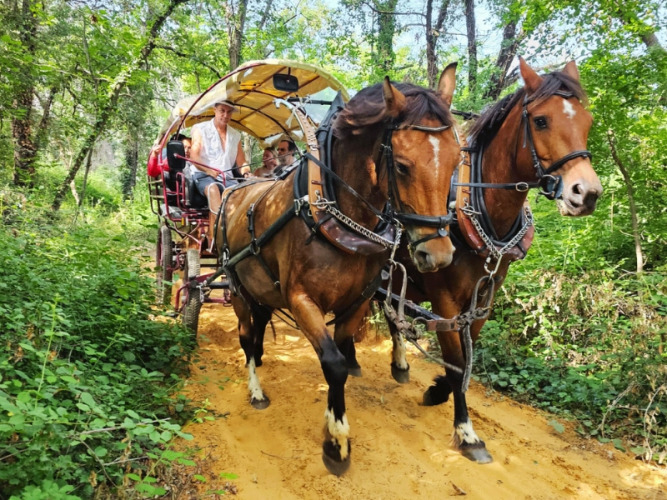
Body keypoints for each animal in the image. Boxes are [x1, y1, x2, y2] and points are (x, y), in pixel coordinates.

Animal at [217, 65, 462, 475]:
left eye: (458, 160)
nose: (439, 255)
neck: (339, 214)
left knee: (259, 324)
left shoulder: (358, 301)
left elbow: (344, 356)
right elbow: (333, 362)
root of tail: (232, 189)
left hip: (261, 287)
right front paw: (336, 442)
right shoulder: (300, 299)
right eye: (401, 165)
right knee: (246, 336)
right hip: (236, 286)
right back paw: (255, 389)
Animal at [387, 57, 603, 463]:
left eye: (588, 121)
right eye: (541, 121)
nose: (587, 193)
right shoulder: (445, 298)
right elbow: (458, 362)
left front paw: (438, 390)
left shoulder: (484, 298)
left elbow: (467, 355)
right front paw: (467, 432)